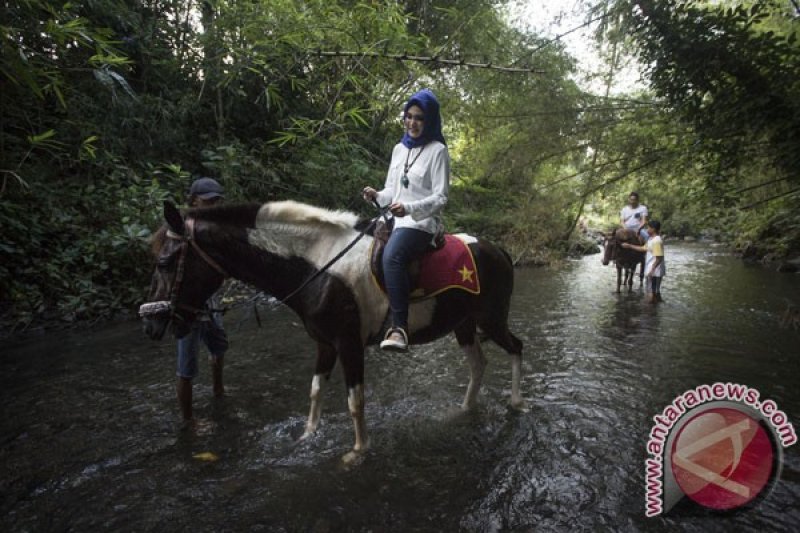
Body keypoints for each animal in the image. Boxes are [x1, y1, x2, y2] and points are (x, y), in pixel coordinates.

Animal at [140, 201, 520, 462]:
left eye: (165, 263)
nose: (151, 324)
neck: (318, 267)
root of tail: (499, 249)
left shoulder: (349, 343)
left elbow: (355, 400)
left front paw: (358, 451)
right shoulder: (324, 344)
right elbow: (315, 391)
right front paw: (308, 436)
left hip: (491, 319)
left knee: (516, 347)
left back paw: (516, 402)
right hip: (464, 325)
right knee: (478, 364)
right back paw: (463, 410)